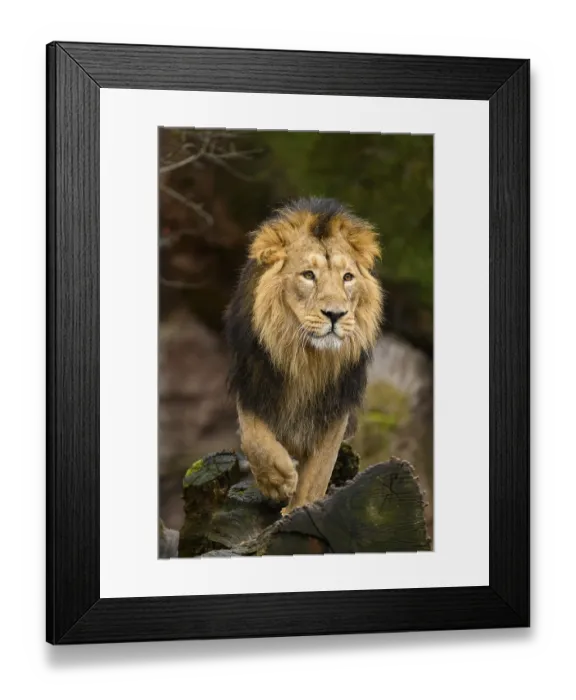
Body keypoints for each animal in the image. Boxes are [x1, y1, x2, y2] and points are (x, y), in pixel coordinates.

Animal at [224, 196, 384, 514]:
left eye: (348, 277)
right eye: (308, 275)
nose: (335, 314)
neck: (308, 358)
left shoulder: (335, 406)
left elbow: (316, 475)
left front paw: (297, 509)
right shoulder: (252, 380)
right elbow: (253, 437)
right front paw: (277, 480)